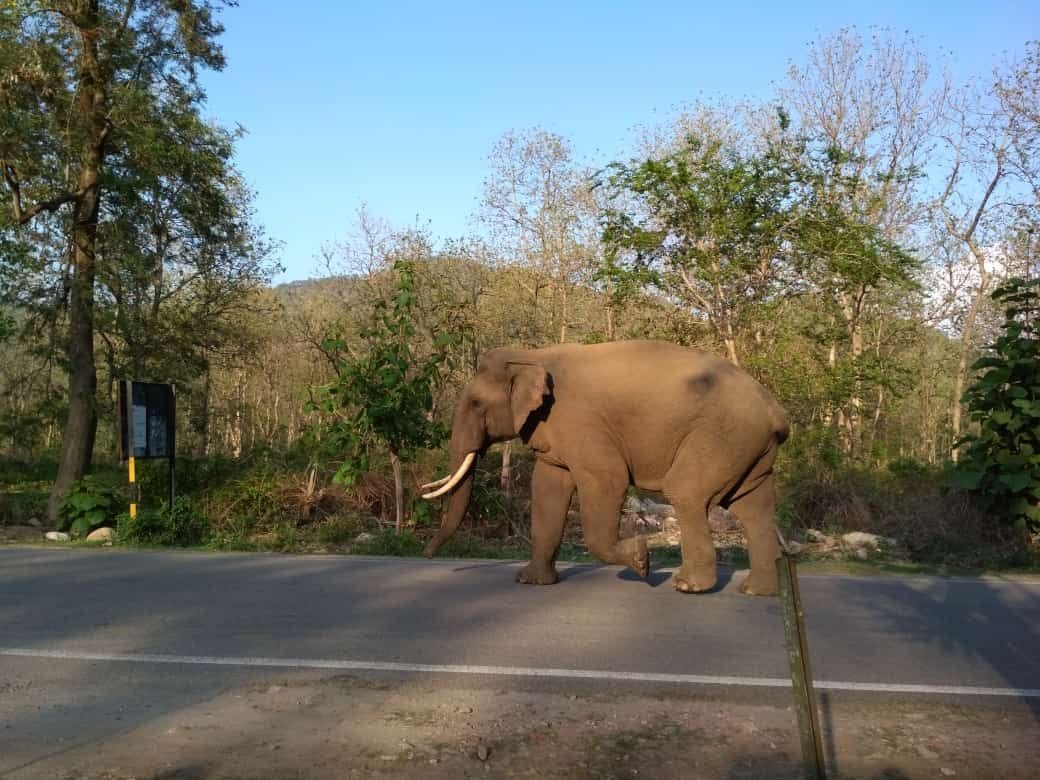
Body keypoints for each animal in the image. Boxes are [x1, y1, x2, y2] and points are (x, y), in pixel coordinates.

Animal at [420, 340, 789, 596]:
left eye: (475, 403)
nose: (426, 555)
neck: (532, 354)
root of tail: (776, 411)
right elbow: (547, 487)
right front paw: (531, 582)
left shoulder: (583, 423)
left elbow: (607, 479)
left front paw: (641, 560)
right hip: (749, 448)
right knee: (754, 507)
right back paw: (756, 591)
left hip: (722, 436)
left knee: (686, 492)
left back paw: (688, 586)